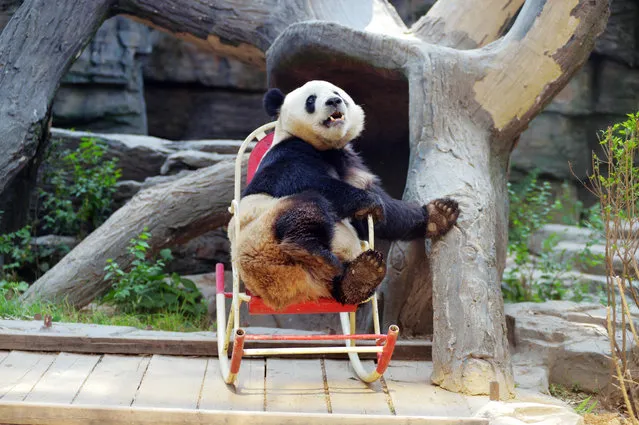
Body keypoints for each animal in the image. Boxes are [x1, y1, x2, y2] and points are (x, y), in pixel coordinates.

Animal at [230, 80, 460, 308]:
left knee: (342, 285)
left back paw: (360, 276)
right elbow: (304, 180)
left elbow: (387, 215)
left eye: (337, 93)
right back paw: (311, 250)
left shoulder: (350, 165)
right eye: (311, 100)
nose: (333, 101)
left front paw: (438, 214)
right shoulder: (288, 152)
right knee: (308, 203)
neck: (326, 147)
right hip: (262, 235)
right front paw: (368, 201)